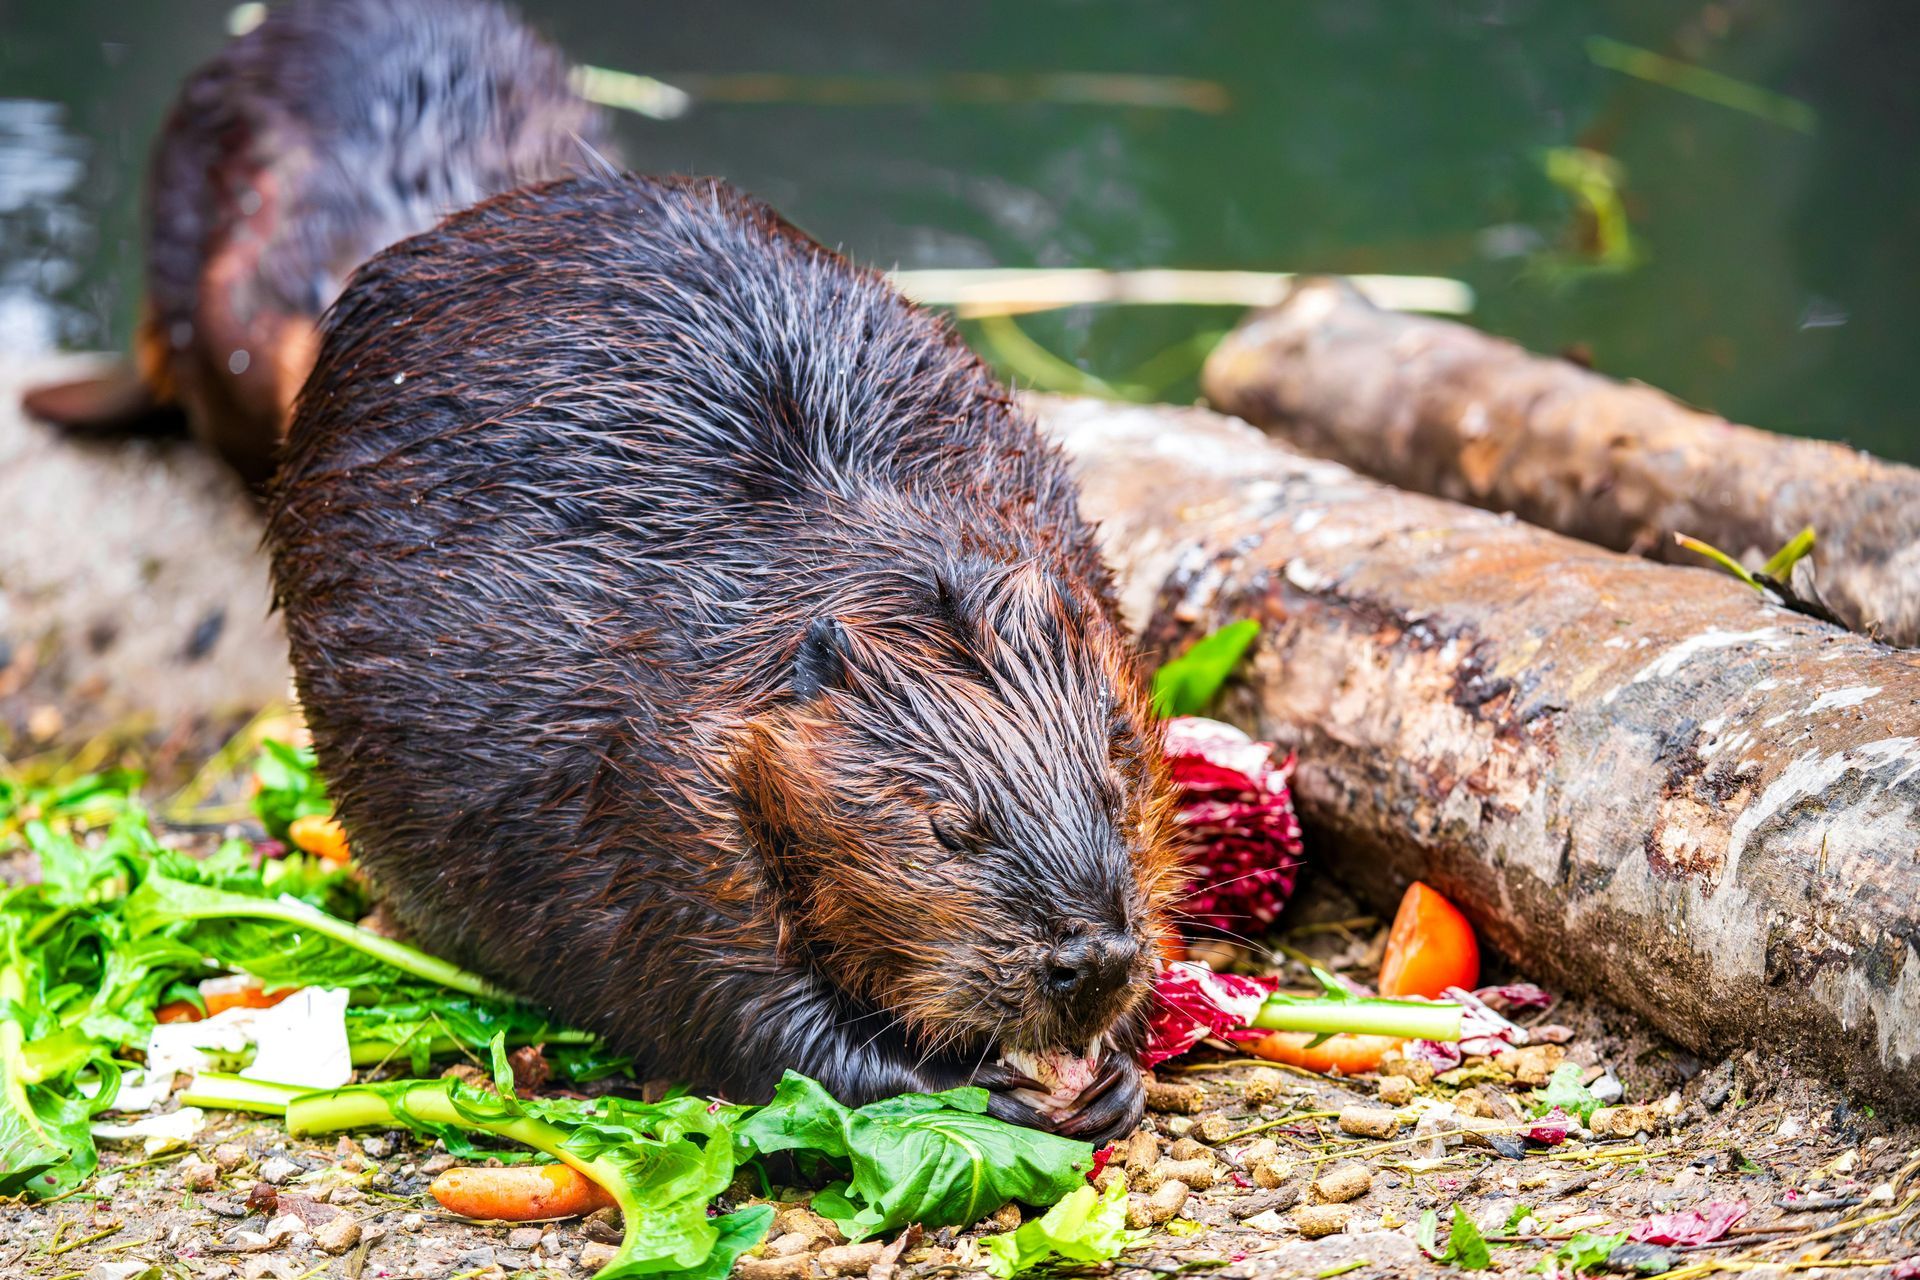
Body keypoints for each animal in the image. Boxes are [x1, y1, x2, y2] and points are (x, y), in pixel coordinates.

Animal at [263, 169, 1175, 1143]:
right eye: (948, 827)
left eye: (1113, 791)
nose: (1093, 960)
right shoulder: (656, 795)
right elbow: (738, 1001)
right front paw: (989, 1088)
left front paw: (1116, 1068)